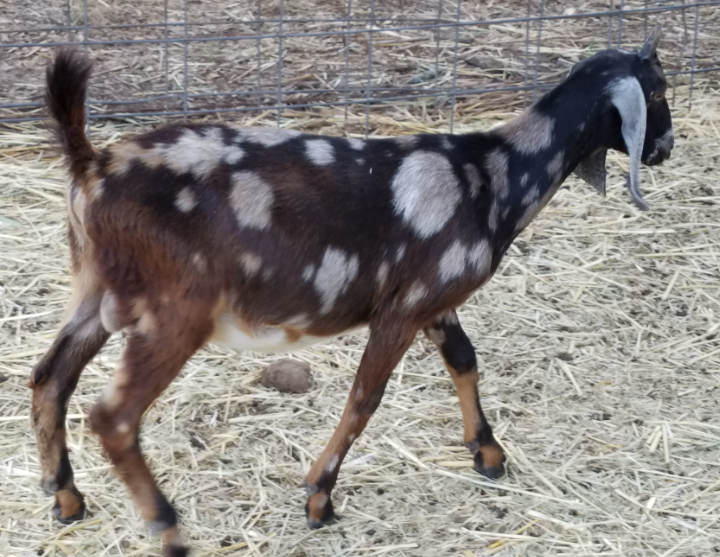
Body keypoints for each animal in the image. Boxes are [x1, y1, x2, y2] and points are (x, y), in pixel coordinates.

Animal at [32, 31, 676, 556]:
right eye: (659, 89)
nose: (665, 147)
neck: (492, 175)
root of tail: (92, 165)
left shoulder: (433, 301)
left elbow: (464, 360)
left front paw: (488, 454)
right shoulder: (403, 309)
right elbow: (366, 397)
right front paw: (319, 497)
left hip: (96, 293)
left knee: (49, 376)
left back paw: (65, 498)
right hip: (174, 311)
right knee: (113, 417)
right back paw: (167, 529)